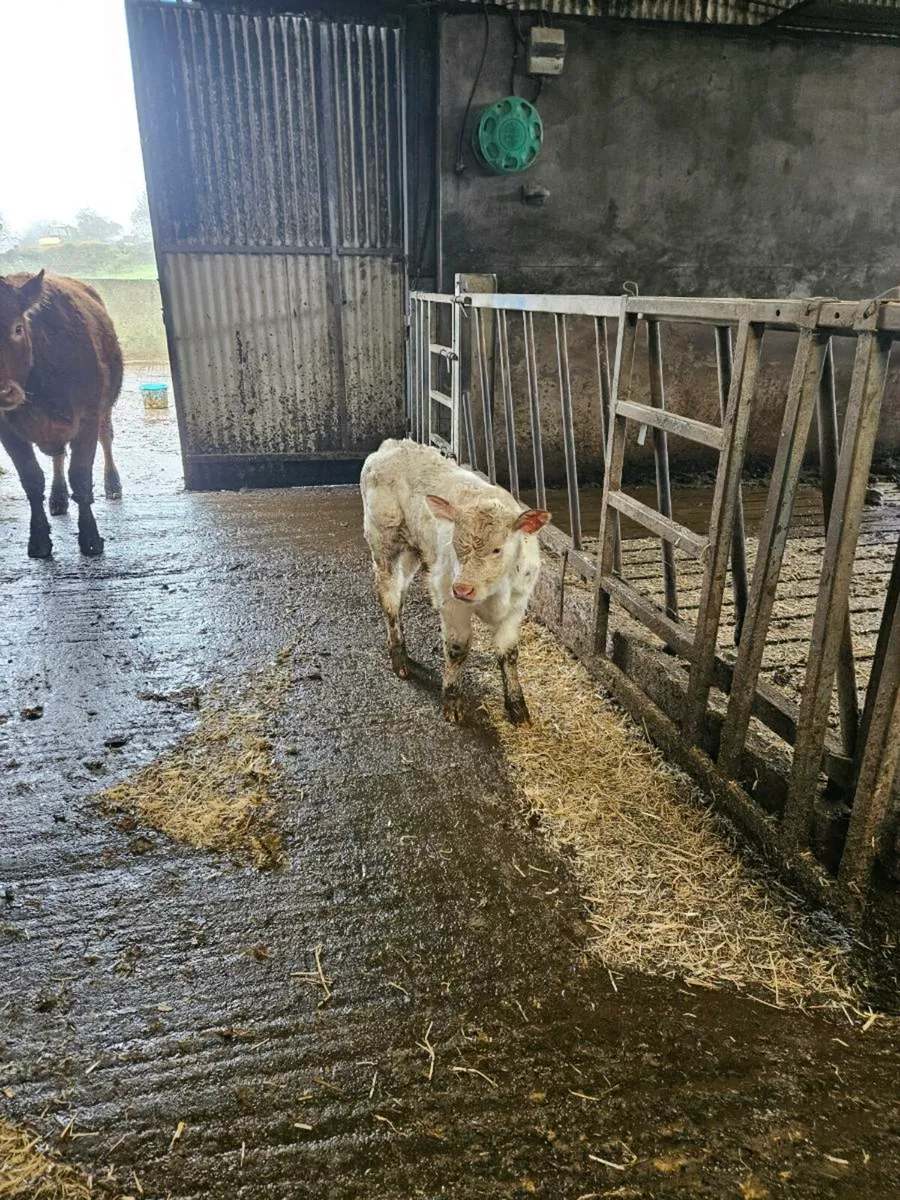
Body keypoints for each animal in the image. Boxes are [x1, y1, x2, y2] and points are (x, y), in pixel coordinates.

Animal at [0, 270, 123, 558]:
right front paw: (38, 541)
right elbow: (32, 480)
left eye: (17, 328)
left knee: (106, 438)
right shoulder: (7, 430)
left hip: (104, 408)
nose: (2, 391)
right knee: (57, 456)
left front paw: (90, 538)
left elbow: (80, 475)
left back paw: (112, 485)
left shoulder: (88, 416)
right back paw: (58, 497)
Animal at [361, 438, 551, 725]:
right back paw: (399, 659)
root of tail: (392, 445)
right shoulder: (449, 599)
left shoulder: (517, 605)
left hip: (412, 550)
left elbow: (509, 653)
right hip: (384, 543)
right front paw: (452, 700)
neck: (495, 592)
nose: (462, 588)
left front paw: (517, 706)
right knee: (389, 598)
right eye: (456, 545)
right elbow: (457, 648)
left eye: (497, 549)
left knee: (400, 594)